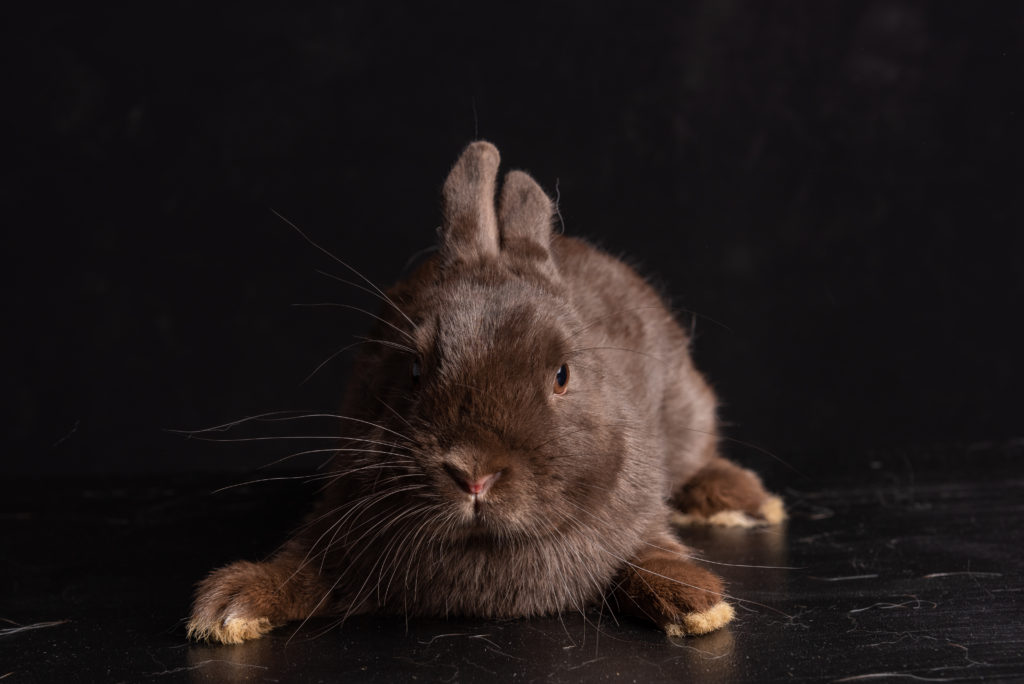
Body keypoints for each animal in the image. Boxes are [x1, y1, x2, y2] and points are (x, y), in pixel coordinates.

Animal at [186, 141, 785, 645]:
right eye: (414, 370)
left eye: (562, 375)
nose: (475, 474)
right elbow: (296, 566)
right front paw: (231, 607)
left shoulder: (638, 519)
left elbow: (652, 553)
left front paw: (697, 602)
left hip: (687, 410)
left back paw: (744, 500)